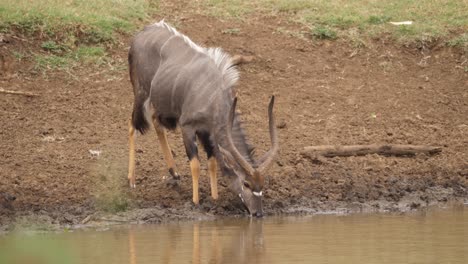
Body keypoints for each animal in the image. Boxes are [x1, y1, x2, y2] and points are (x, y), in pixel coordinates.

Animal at [127, 20, 278, 217]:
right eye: (246, 183)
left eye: (262, 184)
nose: (258, 213)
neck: (213, 97)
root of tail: (140, 35)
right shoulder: (188, 127)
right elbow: (195, 164)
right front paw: (196, 201)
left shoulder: (207, 132)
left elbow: (212, 162)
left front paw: (214, 199)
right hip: (141, 93)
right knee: (132, 126)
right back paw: (131, 180)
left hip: (161, 106)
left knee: (155, 122)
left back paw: (174, 173)